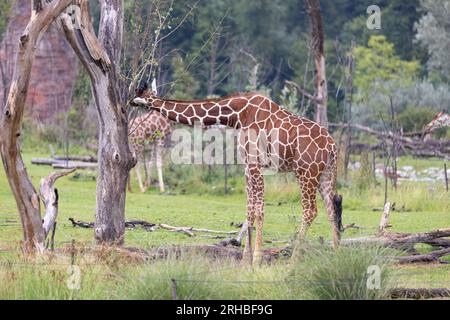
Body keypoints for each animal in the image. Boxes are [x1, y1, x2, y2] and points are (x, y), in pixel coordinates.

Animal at [130, 80, 342, 264]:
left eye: (139, 94)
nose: (130, 101)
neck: (237, 115)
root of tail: (332, 146)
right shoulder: (247, 166)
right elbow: (249, 211)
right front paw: (245, 261)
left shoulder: (255, 164)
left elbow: (259, 210)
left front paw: (256, 261)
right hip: (325, 174)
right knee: (331, 209)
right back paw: (335, 257)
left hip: (306, 172)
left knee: (310, 211)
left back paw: (292, 264)